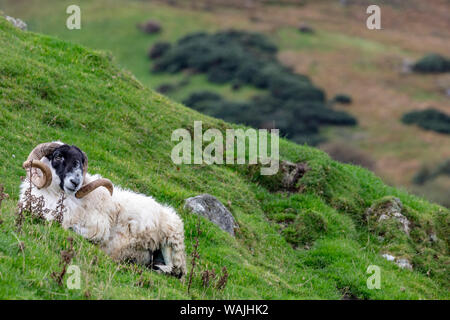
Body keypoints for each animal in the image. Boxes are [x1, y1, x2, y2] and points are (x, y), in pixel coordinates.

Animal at [19, 141, 187, 276]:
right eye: (58, 156)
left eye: (81, 162)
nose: (75, 182)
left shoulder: (99, 228)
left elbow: (74, 229)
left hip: (171, 243)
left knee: (175, 271)